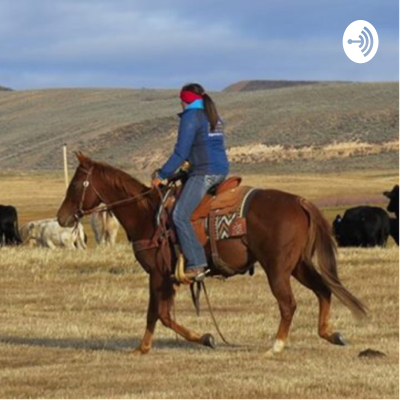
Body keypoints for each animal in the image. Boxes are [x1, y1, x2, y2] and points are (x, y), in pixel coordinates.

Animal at [56, 153, 366, 356]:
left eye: (75, 185)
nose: (62, 217)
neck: (146, 215)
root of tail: (299, 201)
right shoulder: (167, 277)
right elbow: (161, 314)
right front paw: (185, 340)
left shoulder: (157, 274)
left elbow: (158, 314)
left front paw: (193, 339)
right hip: (298, 265)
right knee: (324, 291)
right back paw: (331, 334)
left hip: (277, 268)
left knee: (288, 304)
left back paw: (276, 346)